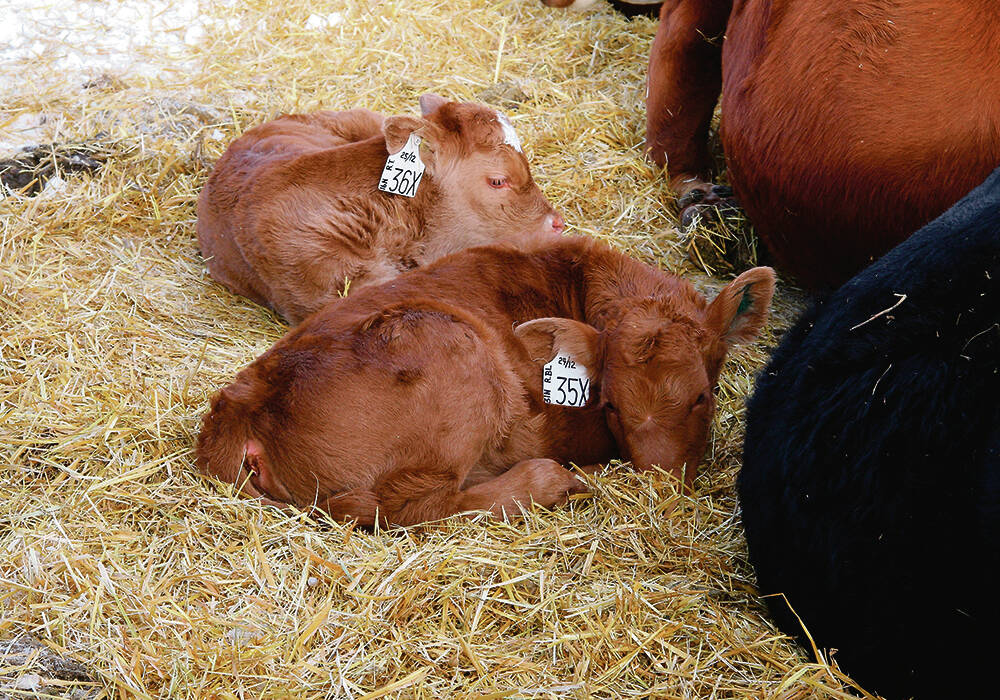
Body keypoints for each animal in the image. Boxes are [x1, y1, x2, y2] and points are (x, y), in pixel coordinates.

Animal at [197, 237, 774, 527]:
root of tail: (238, 407)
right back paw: (554, 480)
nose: (660, 489)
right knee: (407, 507)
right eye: (610, 406)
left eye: (703, 395)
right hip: (451, 351)